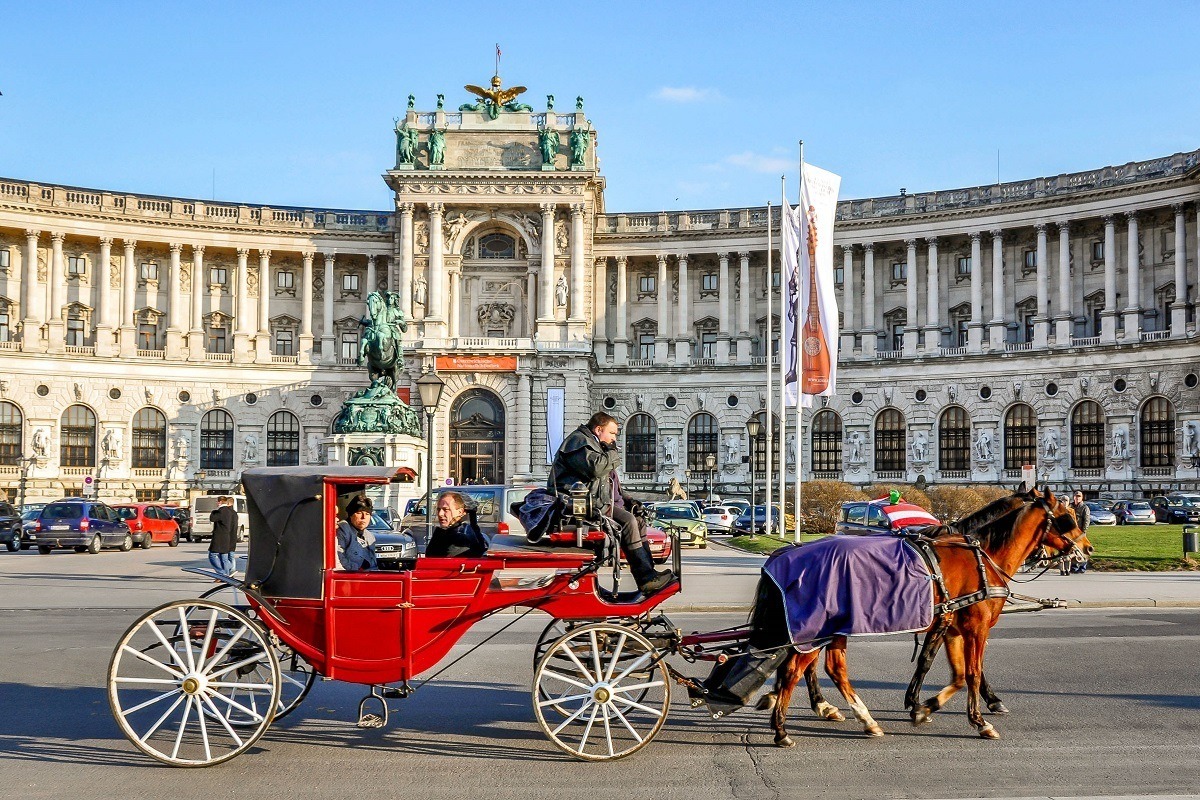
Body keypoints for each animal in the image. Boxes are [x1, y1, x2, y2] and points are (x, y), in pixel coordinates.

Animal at [768, 491, 1089, 748]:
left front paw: (921, 705)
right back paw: (798, 718)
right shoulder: (969, 626)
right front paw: (980, 711)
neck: (980, 557)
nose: (1087, 549)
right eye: (1067, 518)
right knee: (802, 666)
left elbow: (950, 670)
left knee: (814, 665)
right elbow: (965, 670)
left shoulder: (950, 626)